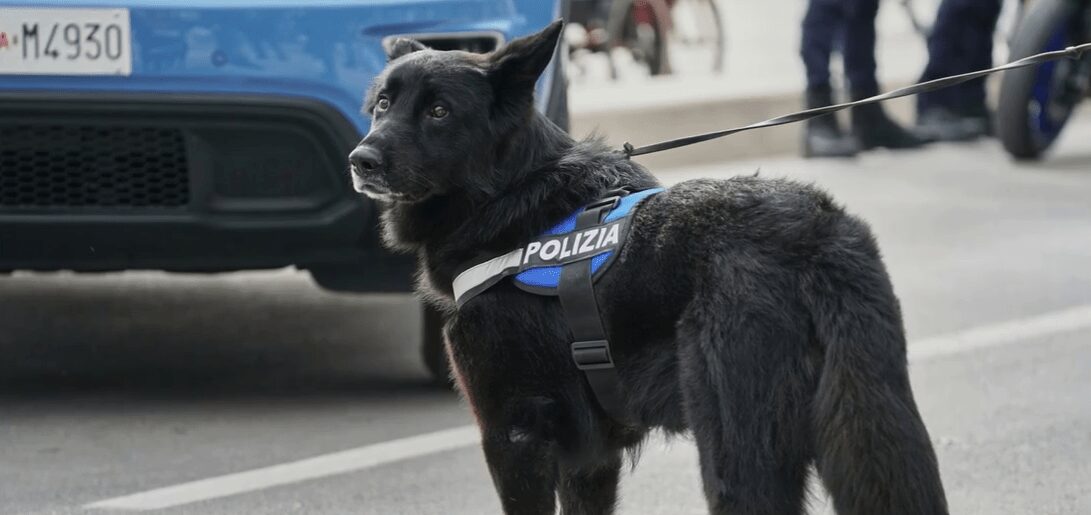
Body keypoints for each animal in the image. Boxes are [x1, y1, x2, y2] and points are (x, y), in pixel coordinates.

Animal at [349, 21, 946, 515]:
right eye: (382, 105)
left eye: (439, 111)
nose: (361, 161)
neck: (507, 195)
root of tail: (815, 233)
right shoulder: (590, 459)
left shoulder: (512, 436)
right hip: (876, 423)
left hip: (734, 450)